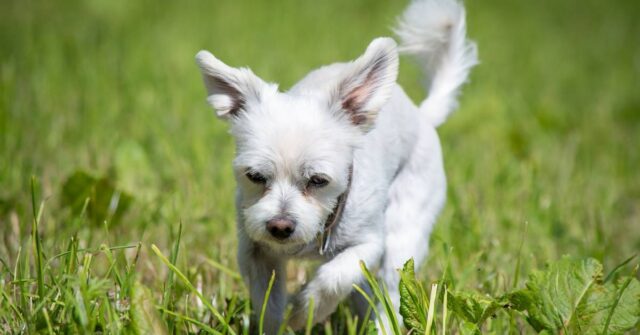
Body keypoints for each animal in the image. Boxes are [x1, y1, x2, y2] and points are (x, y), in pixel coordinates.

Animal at [195, 0, 476, 332]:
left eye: (318, 180)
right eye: (255, 176)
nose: (280, 227)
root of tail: (423, 117)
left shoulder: (369, 245)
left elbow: (333, 277)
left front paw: (304, 311)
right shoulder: (255, 251)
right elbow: (269, 304)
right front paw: (280, 322)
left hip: (404, 236)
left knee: (391, 294)